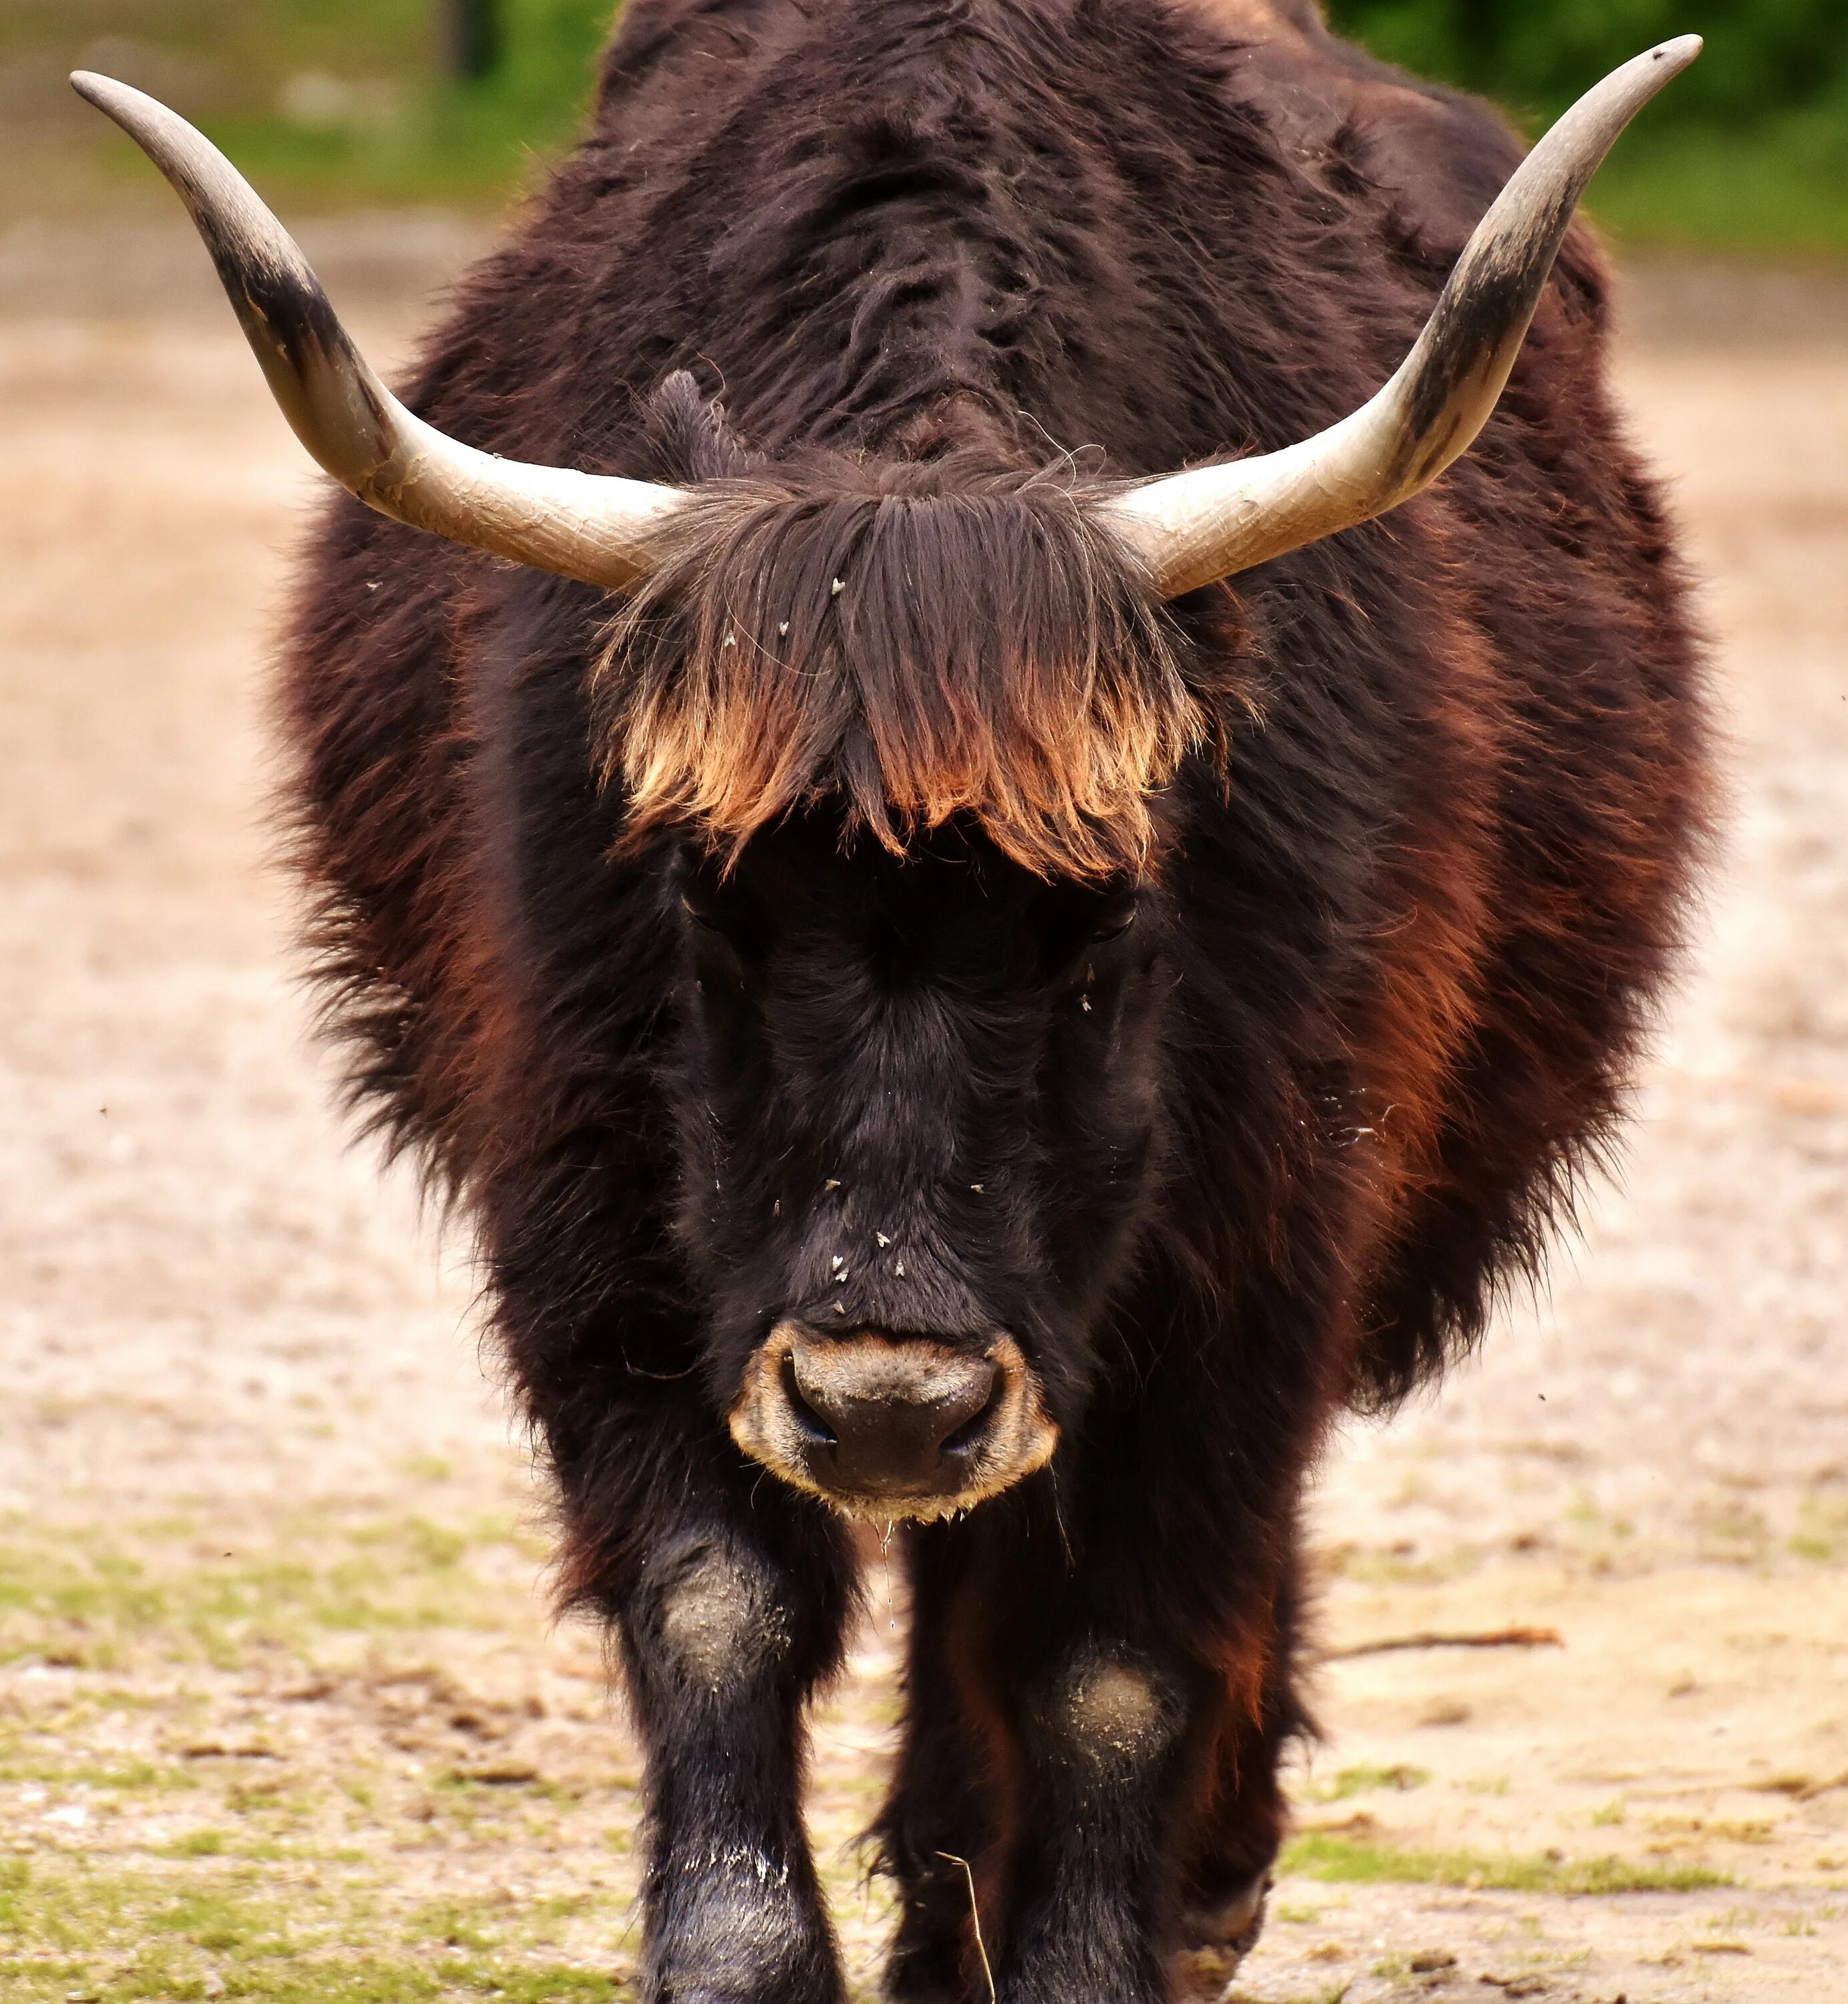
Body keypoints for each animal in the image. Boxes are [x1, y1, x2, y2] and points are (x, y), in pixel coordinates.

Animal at [82, 7, 1699, 1996]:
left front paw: (1098, 1946)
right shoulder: (599, 1234)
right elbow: (716, 1601)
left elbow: (1112, 1656)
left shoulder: (1247, 1254)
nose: (886, 1410)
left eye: (1101, 922)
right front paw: (739, 1953)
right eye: (711, 908)